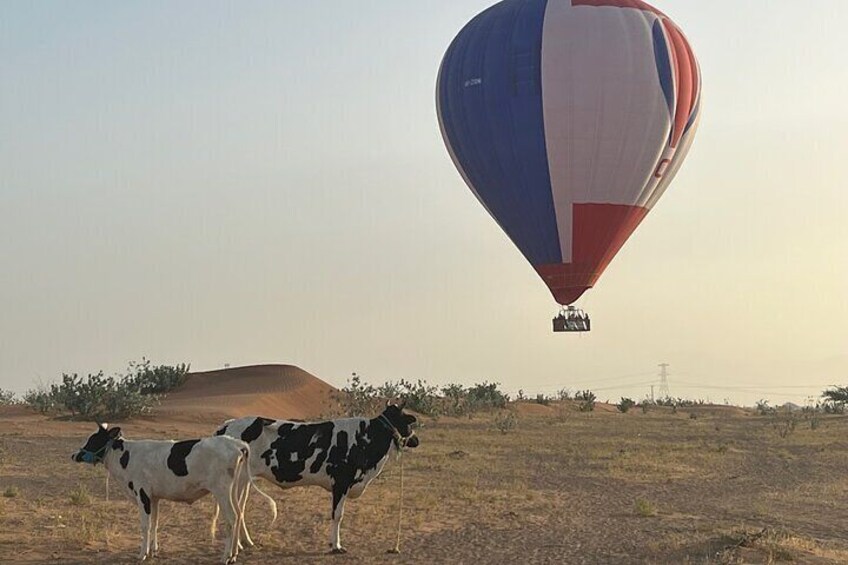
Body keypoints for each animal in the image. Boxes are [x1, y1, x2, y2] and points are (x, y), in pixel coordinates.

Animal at [73, 426, 272, 560]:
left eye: (93, 439)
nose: (74, 455)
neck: (127, 456)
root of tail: (236, 444)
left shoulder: (142, 494)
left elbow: (145, 525)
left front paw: (141, 554)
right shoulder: (154, 497)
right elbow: (154, 523)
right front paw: (153, 551)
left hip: (221, 491)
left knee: (231, 518)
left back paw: (227, 557)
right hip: (234, 489)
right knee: (239, 514)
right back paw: (235, 553)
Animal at [215, 400, 420, 552]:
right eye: (407, 421)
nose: (416, 440)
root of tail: (227, 425)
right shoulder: (341, 482)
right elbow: (338, 515)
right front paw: (336, 546)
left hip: (246, 480)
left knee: (240, 508)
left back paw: (246, 542)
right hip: (238, 480)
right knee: (234, 509)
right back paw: (238, 545)